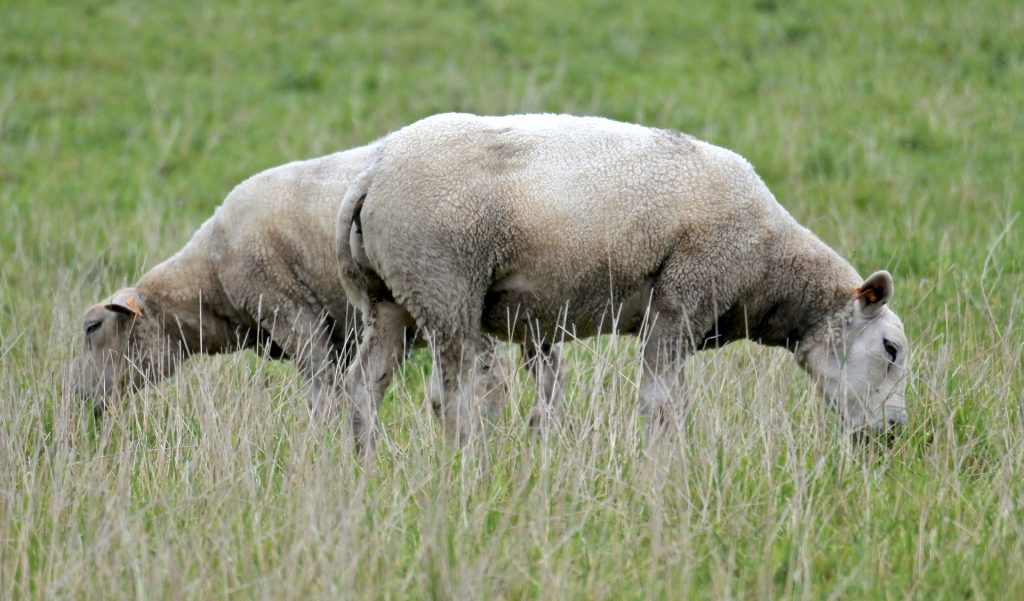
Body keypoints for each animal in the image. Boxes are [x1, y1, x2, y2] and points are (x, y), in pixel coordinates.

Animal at [69, 142, 565, 423]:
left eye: (93, 327)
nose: (74, 398)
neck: (208, 282)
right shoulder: (340, 332)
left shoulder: (290, 312)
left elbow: (322, 390)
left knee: (490, 381)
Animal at [337, 112, 909, 452]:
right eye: (891, 349)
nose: (894, 431)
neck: (770, 266)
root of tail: (373, 172)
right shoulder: (682, 301)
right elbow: (663, 405)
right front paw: (666, 469)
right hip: (444, 286)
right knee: (454, 398)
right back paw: (467, 465)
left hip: (391, 298)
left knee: (364, 385)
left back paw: (364, 465)